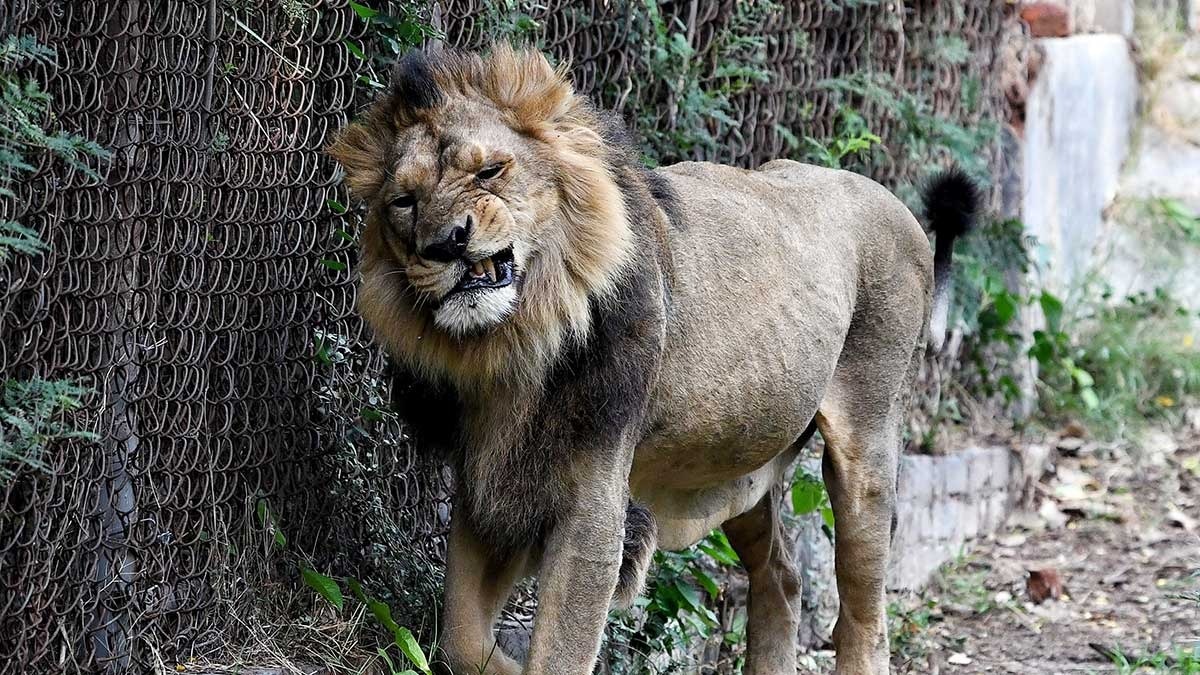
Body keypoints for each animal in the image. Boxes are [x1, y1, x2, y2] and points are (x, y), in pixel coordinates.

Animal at [328, 45, 978, 675]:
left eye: (490, 170)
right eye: (404, 202)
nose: (446, 243)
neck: (514, 345)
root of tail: (892, 201)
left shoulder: (592, 498)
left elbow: (559, 651)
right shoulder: (489, 483)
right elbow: (460, 639)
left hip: (867, 443)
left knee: (865, 613)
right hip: (742, 467)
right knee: (782, 576)